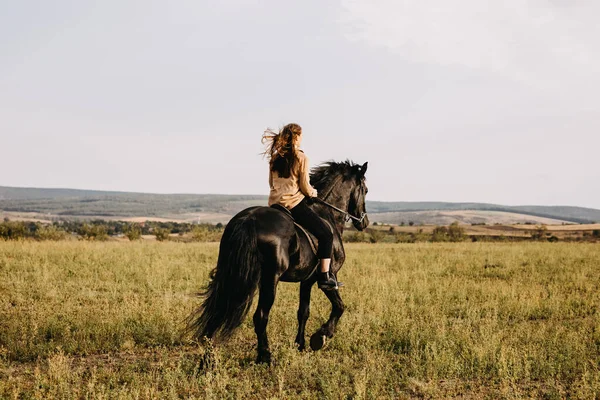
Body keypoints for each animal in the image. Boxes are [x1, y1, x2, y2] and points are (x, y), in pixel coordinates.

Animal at [188, 159, 368, 362]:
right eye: (366, 190)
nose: (364, 222)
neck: (327, 213)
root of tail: (249, 220)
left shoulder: (306, 281)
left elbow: (303, 312)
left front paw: (300, 345)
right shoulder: (329, 277)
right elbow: (339, 306)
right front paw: (320, 337)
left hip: (233, 275)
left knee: (218, 311)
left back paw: (208, 358)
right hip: (270, 278)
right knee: (260, 316)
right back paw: (265, 356)